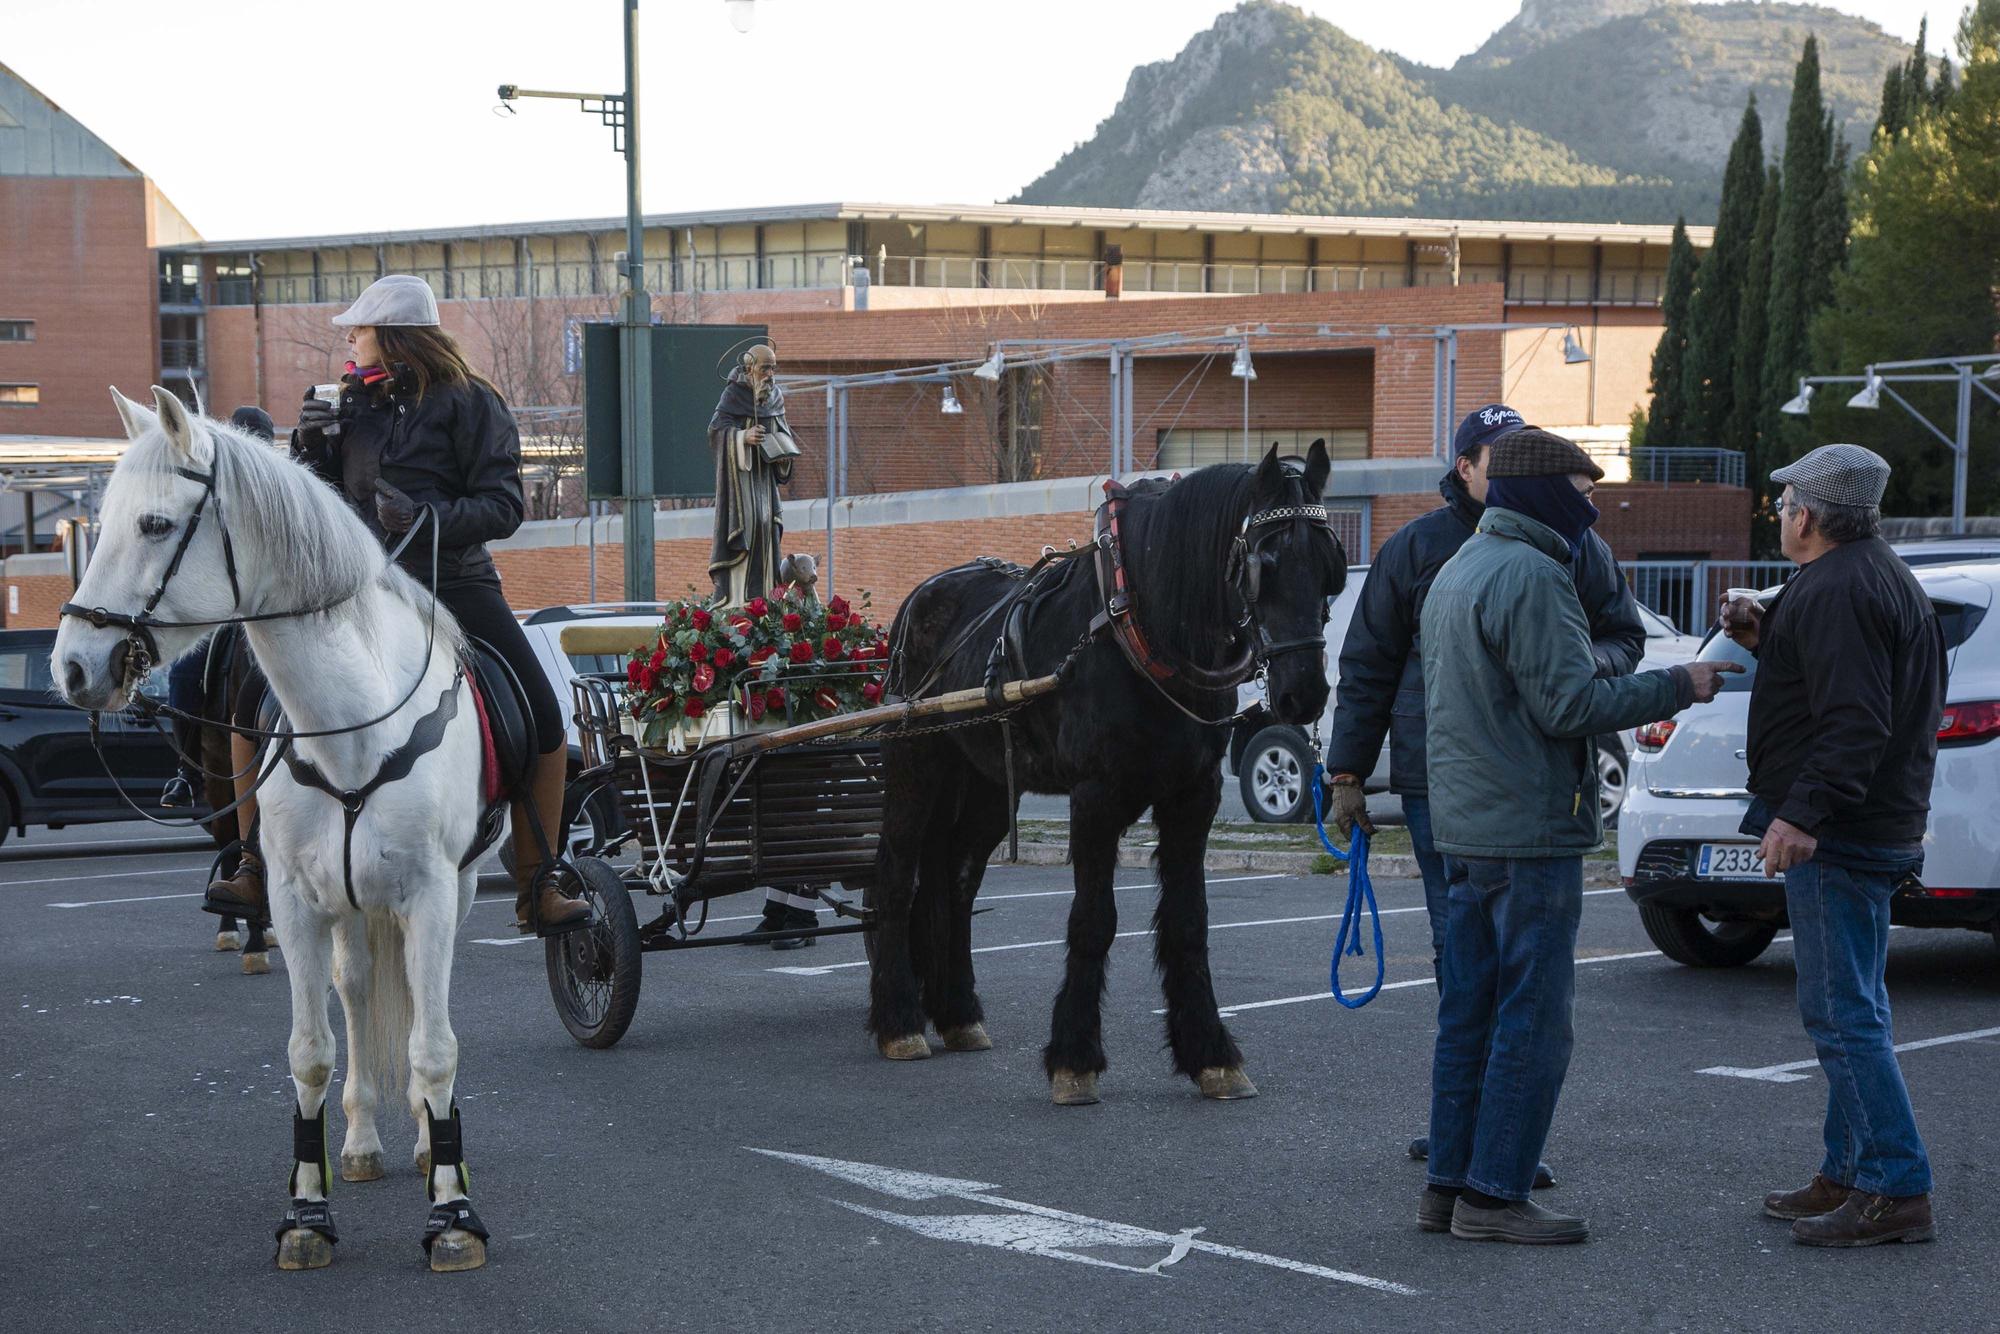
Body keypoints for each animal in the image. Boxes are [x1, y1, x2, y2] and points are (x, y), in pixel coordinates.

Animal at [53, 386, 492, 1272]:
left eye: (155, 524)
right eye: (98, 520)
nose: (72, 667)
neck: (351, 727)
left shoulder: (431, 897)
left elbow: (434, 1048)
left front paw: (452, 1212)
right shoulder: (295, 903)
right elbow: (309, 1052)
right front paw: (308, 1212)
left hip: (451, 894)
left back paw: (427, 1145)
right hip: (350, 909)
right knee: (356, 990)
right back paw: (361, 1142)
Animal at [872, 444, 1344, 1104]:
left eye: (1330, 567)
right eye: (1264, 565)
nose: (1305, 694)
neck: (1143, 630)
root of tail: (920, 598)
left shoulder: (1193, 796)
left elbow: (1189, 922)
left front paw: (1211, 1055)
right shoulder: (1095, 797)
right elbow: (1093, 921)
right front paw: (1075, 1059)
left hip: (987, 784)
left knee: (955, 882)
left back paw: (959, 1014)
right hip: (915, 764)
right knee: (895, 875)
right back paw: (900, 1022)